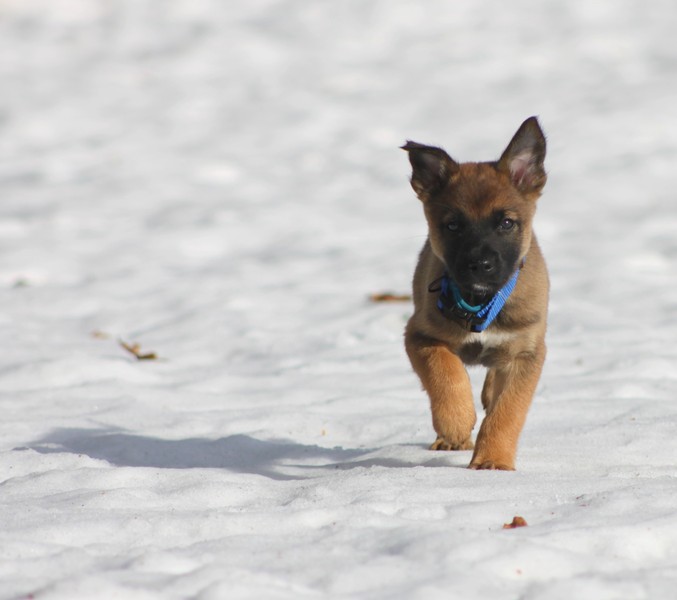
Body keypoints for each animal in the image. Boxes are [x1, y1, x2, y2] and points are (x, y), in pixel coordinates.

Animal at [402, 117, 549, 470]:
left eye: (506, 223)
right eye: (453, 226)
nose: (480, 265)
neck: (480, 300)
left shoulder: (527, 353)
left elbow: (508, 410)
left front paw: (492, 460)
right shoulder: (419, 334)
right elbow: (445, 373)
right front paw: (455, 423)